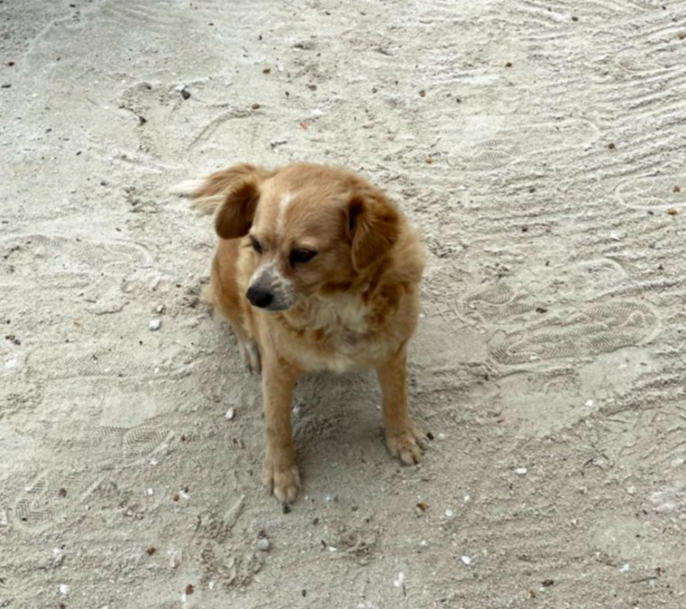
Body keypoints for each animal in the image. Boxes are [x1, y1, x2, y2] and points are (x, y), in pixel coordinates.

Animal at [179, 163, 424, 508]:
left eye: (303, 254)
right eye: (256, 244)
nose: (255, 296)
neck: (333, 305)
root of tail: (265, 171)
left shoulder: (393, 352)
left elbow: (396, 400)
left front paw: (400, 437)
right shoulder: (277, 370)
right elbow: (277, 425)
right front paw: (280, 472)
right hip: (227, 288)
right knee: (237, 322)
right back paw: (249, 348)